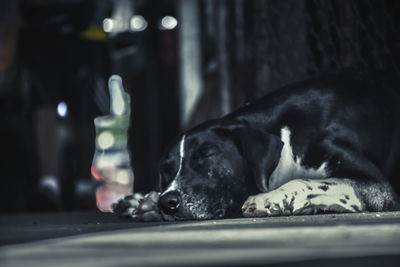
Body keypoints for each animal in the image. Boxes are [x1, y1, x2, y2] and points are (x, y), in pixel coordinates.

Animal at [111, 69, 400, 222]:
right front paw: (144, 200)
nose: (168, 201)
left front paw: (270, 198)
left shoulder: (379, 186)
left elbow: (309, 182)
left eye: (208, 155)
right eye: (166, 170)